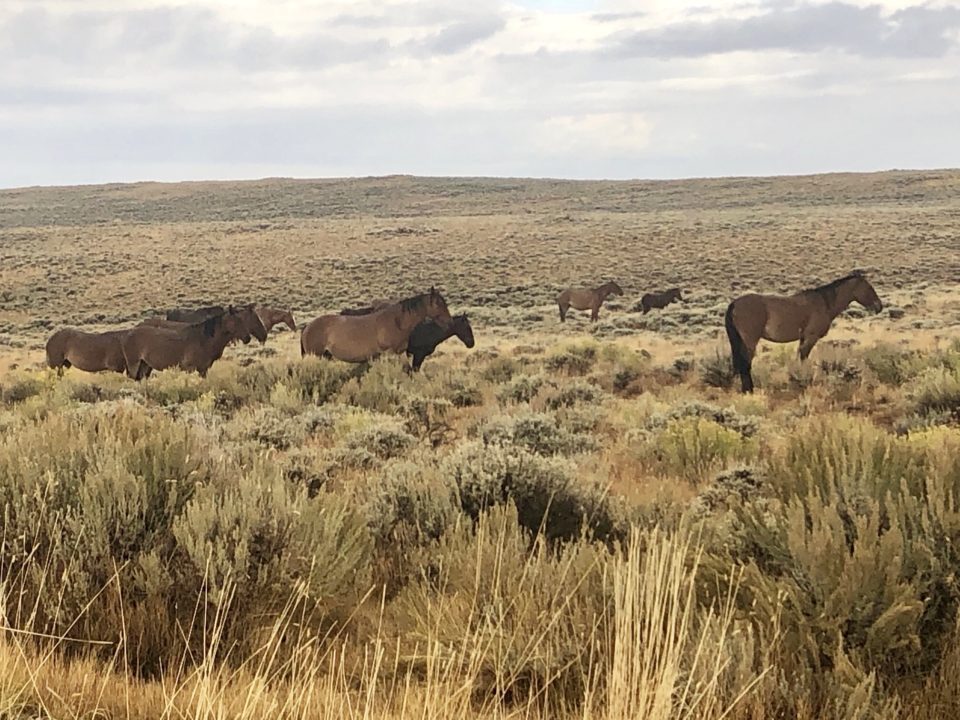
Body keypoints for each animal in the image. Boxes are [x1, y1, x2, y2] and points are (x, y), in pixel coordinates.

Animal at [121, 306, 251, 380]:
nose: (248, 338)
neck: (203, 340)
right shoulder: (190, 369)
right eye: (237, 321)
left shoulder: (203, 370)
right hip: (134, 364)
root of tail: (129, 333)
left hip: (145, 365)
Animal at [302, 286, 456, 362]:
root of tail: (307, 327)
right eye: (438, 303)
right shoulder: (389, 353)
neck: (398, 322)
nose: (450, 322)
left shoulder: (400, 353)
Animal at [728, 270, 884, 394]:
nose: (879, 307)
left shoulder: (803, 339)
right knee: (745, 363)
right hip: (750, 341)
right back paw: (749, 390)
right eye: (868, 287)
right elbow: (804, 358)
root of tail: (735, 303)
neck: (824, 303)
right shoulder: (810, 338)